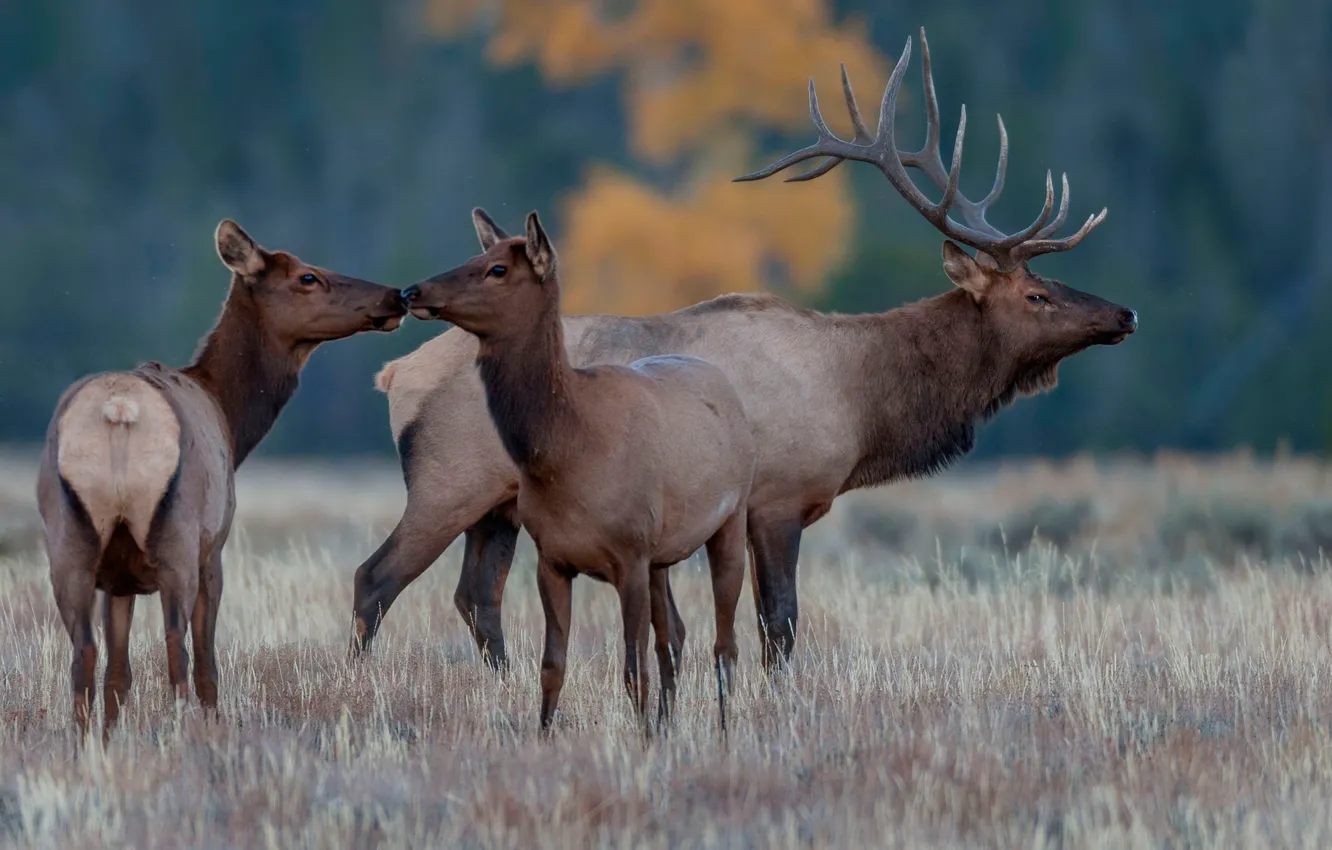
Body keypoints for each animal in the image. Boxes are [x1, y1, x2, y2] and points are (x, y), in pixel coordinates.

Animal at [36, 219, 407, 739]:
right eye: (307, 276)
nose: (397, 296)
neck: (232, 420)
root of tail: (119, 411)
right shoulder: (214, 550)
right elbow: (206, 663)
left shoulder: (119, 578)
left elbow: (118, 671)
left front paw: (111, 737)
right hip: (179, 535)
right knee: (178, 650)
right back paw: (182, 735)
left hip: (68, 538)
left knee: (84, 652)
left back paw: (85, 740)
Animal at [351, 27, 1137, 675]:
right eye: (1035, 295)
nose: (1125, 312)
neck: (860, 401)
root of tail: (392, 374)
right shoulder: (777, 500)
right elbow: (779, 627)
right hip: (447, 482)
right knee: (375, 579)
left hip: (501, 505)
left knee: (475, 597)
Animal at [398, 210, 755, 732]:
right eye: (476, 254)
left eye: (498, 269)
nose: (412, 291)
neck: (569, 455)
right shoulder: (552, 558)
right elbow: (552, 666)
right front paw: (547, 736)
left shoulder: (630, 553)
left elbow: (632, 668)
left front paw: (642, 740)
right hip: (663, 554)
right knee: (674, 635)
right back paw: (669, 723)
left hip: (731, 517)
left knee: (723, 644)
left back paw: (723, 732)